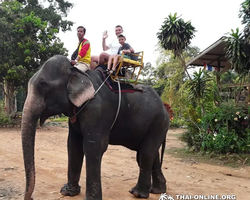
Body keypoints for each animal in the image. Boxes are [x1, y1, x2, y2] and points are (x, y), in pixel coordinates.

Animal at [21, 54, 170, 200]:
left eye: (43, 85)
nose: (31, 198)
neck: (77, 71)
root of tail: (165, 107)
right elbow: (73, 145)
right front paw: (67, 192)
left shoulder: (97, 110)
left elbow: (93, 146)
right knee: (151, 153)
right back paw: (157, 190)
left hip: (159, 122)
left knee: (146, 153)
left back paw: (137, 193)